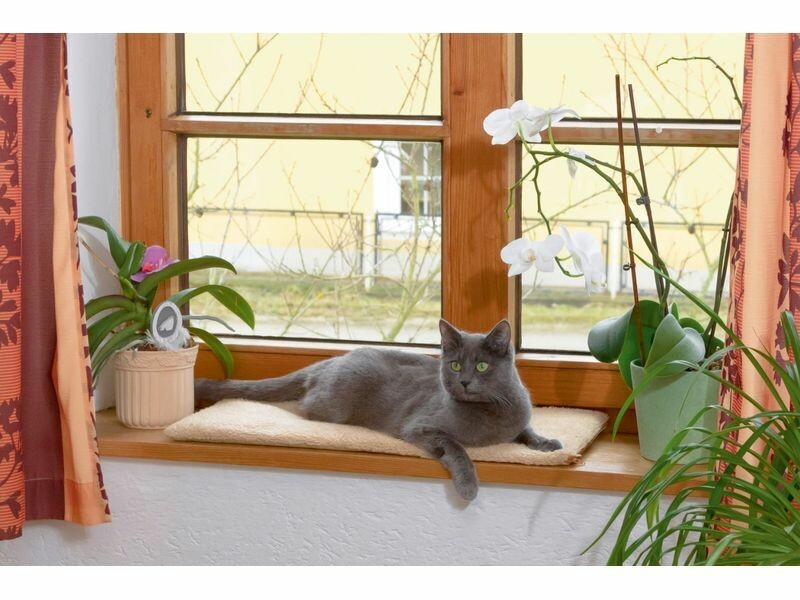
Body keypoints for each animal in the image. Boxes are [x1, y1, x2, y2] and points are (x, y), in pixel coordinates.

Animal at [194, 319, 562, 501]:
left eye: (483, 366)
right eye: (456, 365)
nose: (465, 382)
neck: (490, 413)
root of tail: (331, 360)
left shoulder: (517, 418)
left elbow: (527, 429)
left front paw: (548, 444)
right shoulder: (421, 427)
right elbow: (456, 448)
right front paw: (469, 486)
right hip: (337, 400)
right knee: (306, 405)